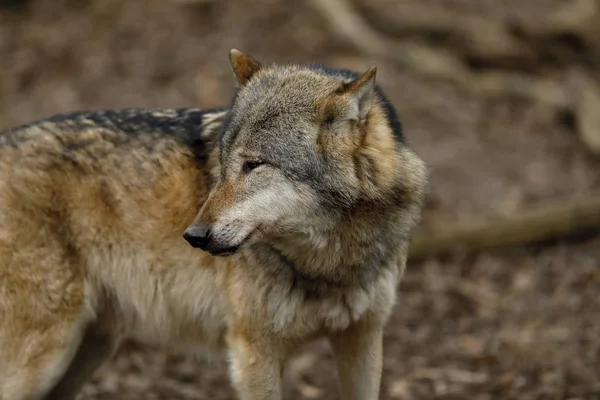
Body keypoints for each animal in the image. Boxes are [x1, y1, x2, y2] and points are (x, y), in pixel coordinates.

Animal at [0, 50, 428, 400]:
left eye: (254, 165)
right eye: (223, 163)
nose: (193, 236)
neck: (329, 261)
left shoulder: (363, 338)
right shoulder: (253, 351)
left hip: (85, 352)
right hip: (42, 357)